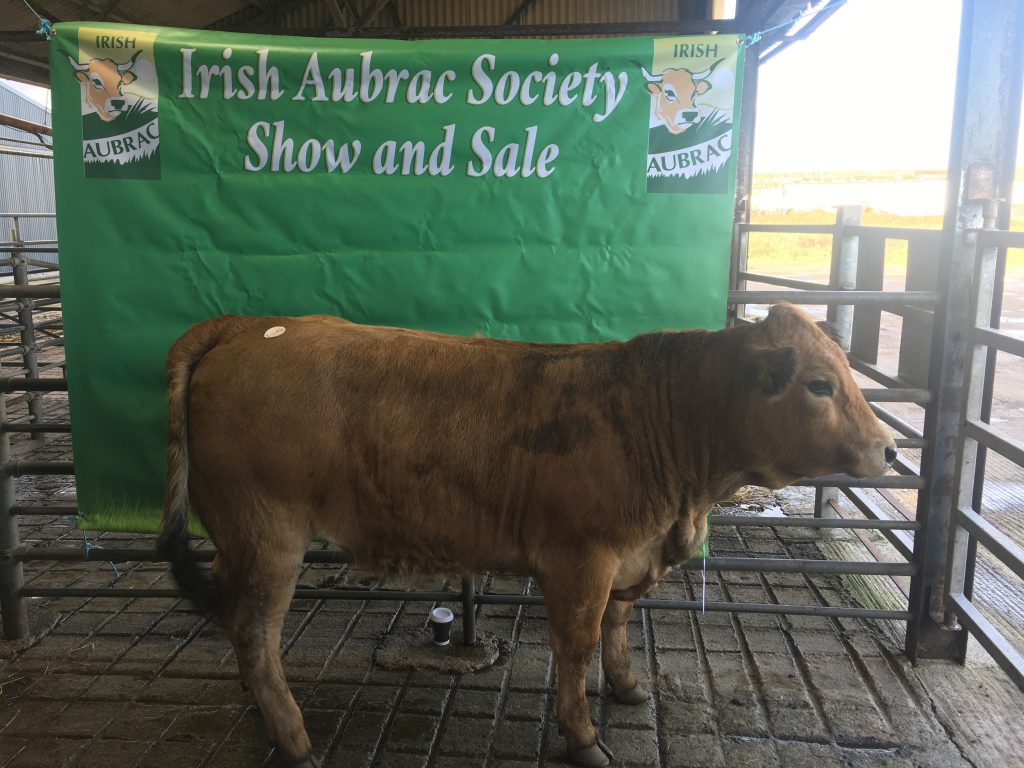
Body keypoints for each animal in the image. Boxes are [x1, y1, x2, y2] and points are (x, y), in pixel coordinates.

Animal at [158, 303, 896, 767]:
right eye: (820, 384)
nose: (889, 450)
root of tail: (248, 328)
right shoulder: (581, 559)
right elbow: (575, 646)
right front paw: (583, 737)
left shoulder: (628, 558)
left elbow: (618, 627)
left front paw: (628, 688)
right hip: (269, 535)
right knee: (256, 632)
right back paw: (294, 739)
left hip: (238, 540)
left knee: (236, 619)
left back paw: (260, 707)